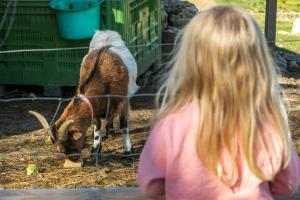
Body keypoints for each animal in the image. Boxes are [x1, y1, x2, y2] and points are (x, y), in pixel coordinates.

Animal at [29, 31, 138, 162]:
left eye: (70, 143)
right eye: (60, 149)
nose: (73, 159)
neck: (102, 79)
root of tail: (105, 33)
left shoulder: (123, 101)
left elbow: (124, 125)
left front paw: (128, 152)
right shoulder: (95, 110)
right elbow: (97, 127)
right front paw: (95, 150)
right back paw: (109, 130)